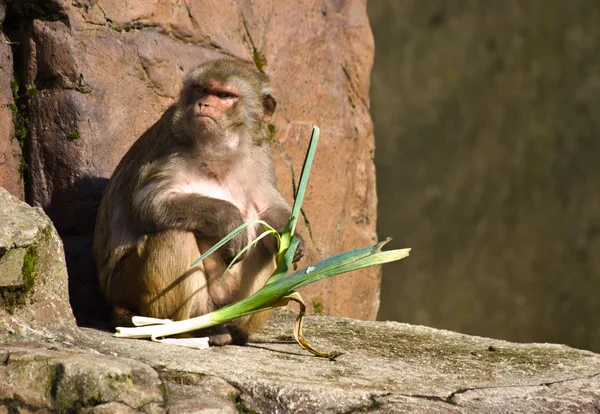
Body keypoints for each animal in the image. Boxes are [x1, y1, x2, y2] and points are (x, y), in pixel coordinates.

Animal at [94, 58, 304, 346]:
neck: (218, 151)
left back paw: (232, 328)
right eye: (202, 89)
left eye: (224, 95)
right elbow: (147, 203)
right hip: (123, 287)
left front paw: (294, 241)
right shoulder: (170, 141)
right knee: (173, 235)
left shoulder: (260, 155)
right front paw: (229, 220)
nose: (203, 104)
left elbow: (268, 210)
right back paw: (190, 328)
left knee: (264, 244)